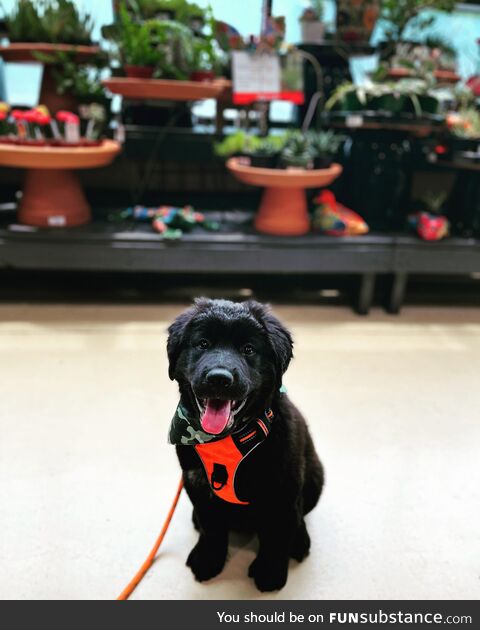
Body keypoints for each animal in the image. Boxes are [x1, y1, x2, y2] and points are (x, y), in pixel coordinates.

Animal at [167, 298, 324, 592]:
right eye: (203, 343)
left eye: (248, 349)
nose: (219, 378)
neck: (227, 439)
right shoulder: (196, 481)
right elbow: (211, 527)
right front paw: (208, 560)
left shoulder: (281, 488)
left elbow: (276, 534)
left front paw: (270, 573)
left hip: (315, 475)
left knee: (299, 515)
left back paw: (299, 541)